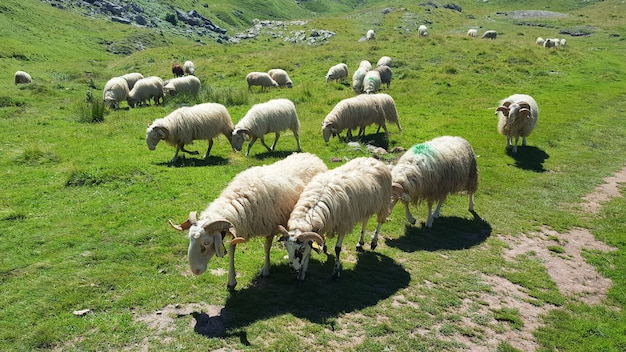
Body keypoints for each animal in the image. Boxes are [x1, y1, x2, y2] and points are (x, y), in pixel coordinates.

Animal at [168, 153, 330, 288]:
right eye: (190, 240)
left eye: (206, 244)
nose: (195, 271)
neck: (238, 199)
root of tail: (312, 156)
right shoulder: (236, 229)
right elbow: (232, 250)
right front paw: (231, 280)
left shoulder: (271, 226)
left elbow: (266, 248)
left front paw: (266, 270)